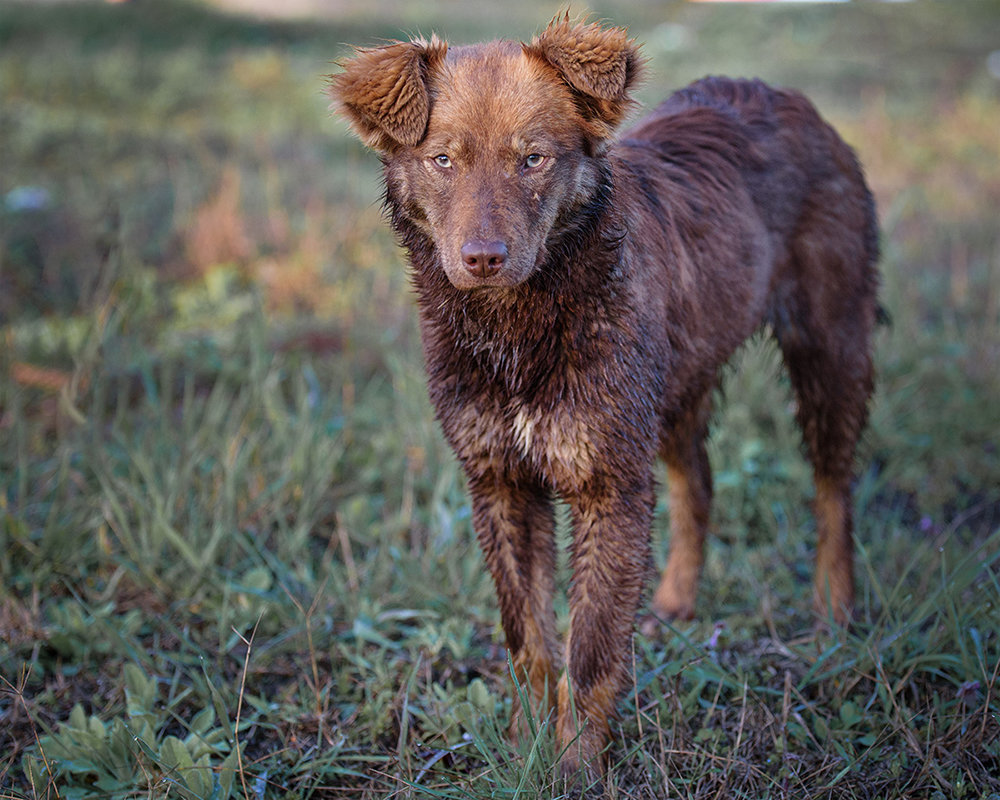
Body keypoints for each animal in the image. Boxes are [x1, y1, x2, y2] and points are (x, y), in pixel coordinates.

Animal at [328, 17, 876, 780]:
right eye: (442, 160)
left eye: (533, 159)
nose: (483, 259)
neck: (518, 325)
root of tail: (789, 97)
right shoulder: (500, 481)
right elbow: (529, 639)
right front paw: (526, 746)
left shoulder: (607, 482)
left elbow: (589, 649)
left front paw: (576, 766)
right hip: (672, 383)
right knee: (698, 482)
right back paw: (675, 600)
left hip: (828, 349)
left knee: (834, 487)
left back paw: (834, 608)